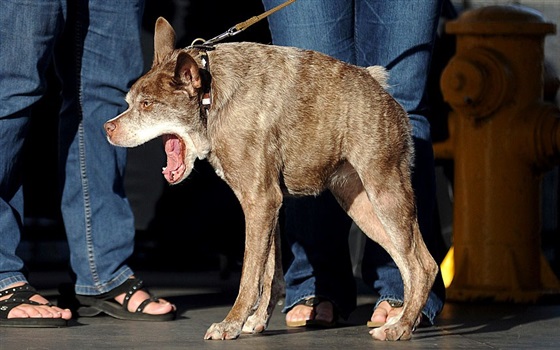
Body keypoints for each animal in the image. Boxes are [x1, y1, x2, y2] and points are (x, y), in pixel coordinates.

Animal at [104, 17, 438, 340]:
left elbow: (249, 275)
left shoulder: (260, 201)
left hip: (385, 193)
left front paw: (230, 324)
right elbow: (269, 272)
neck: (211, 97)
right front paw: (256, 321)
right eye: (129, 102)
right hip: (362, 206)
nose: (108, 128)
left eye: (147, 104)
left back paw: (400, 327)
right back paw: (402, 318)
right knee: (408, 264)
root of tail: (382, 90)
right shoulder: (268, 205)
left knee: (424, 266)